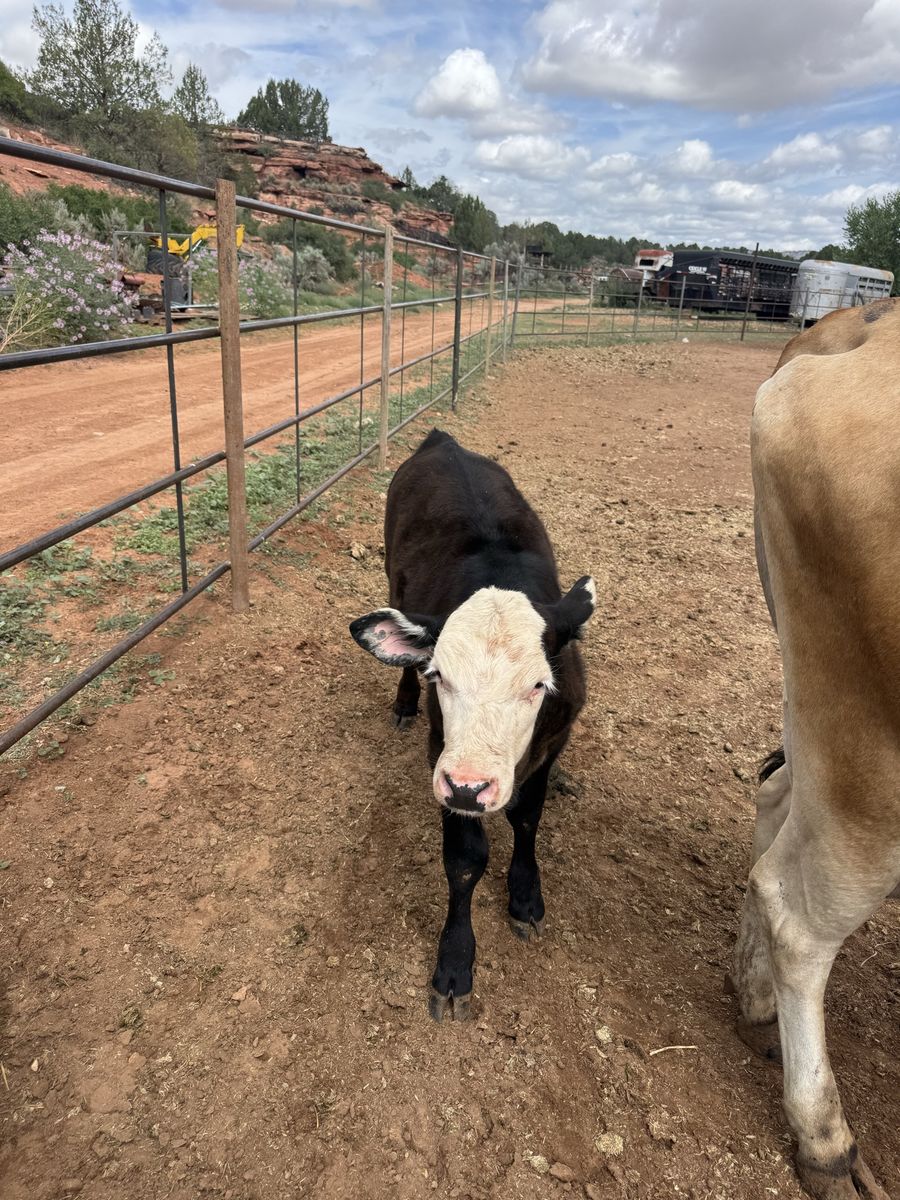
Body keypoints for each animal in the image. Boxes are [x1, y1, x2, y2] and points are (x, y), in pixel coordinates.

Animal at [350, 429, 595, 1021]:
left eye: (539, 685)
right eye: (440, 674)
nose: (469, 785)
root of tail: (443, 440)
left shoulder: (554, 740)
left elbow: (527, 818)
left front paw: (526, 898)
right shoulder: (443, 755)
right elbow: (465, 860)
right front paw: (455, 963)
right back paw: (403, 702)